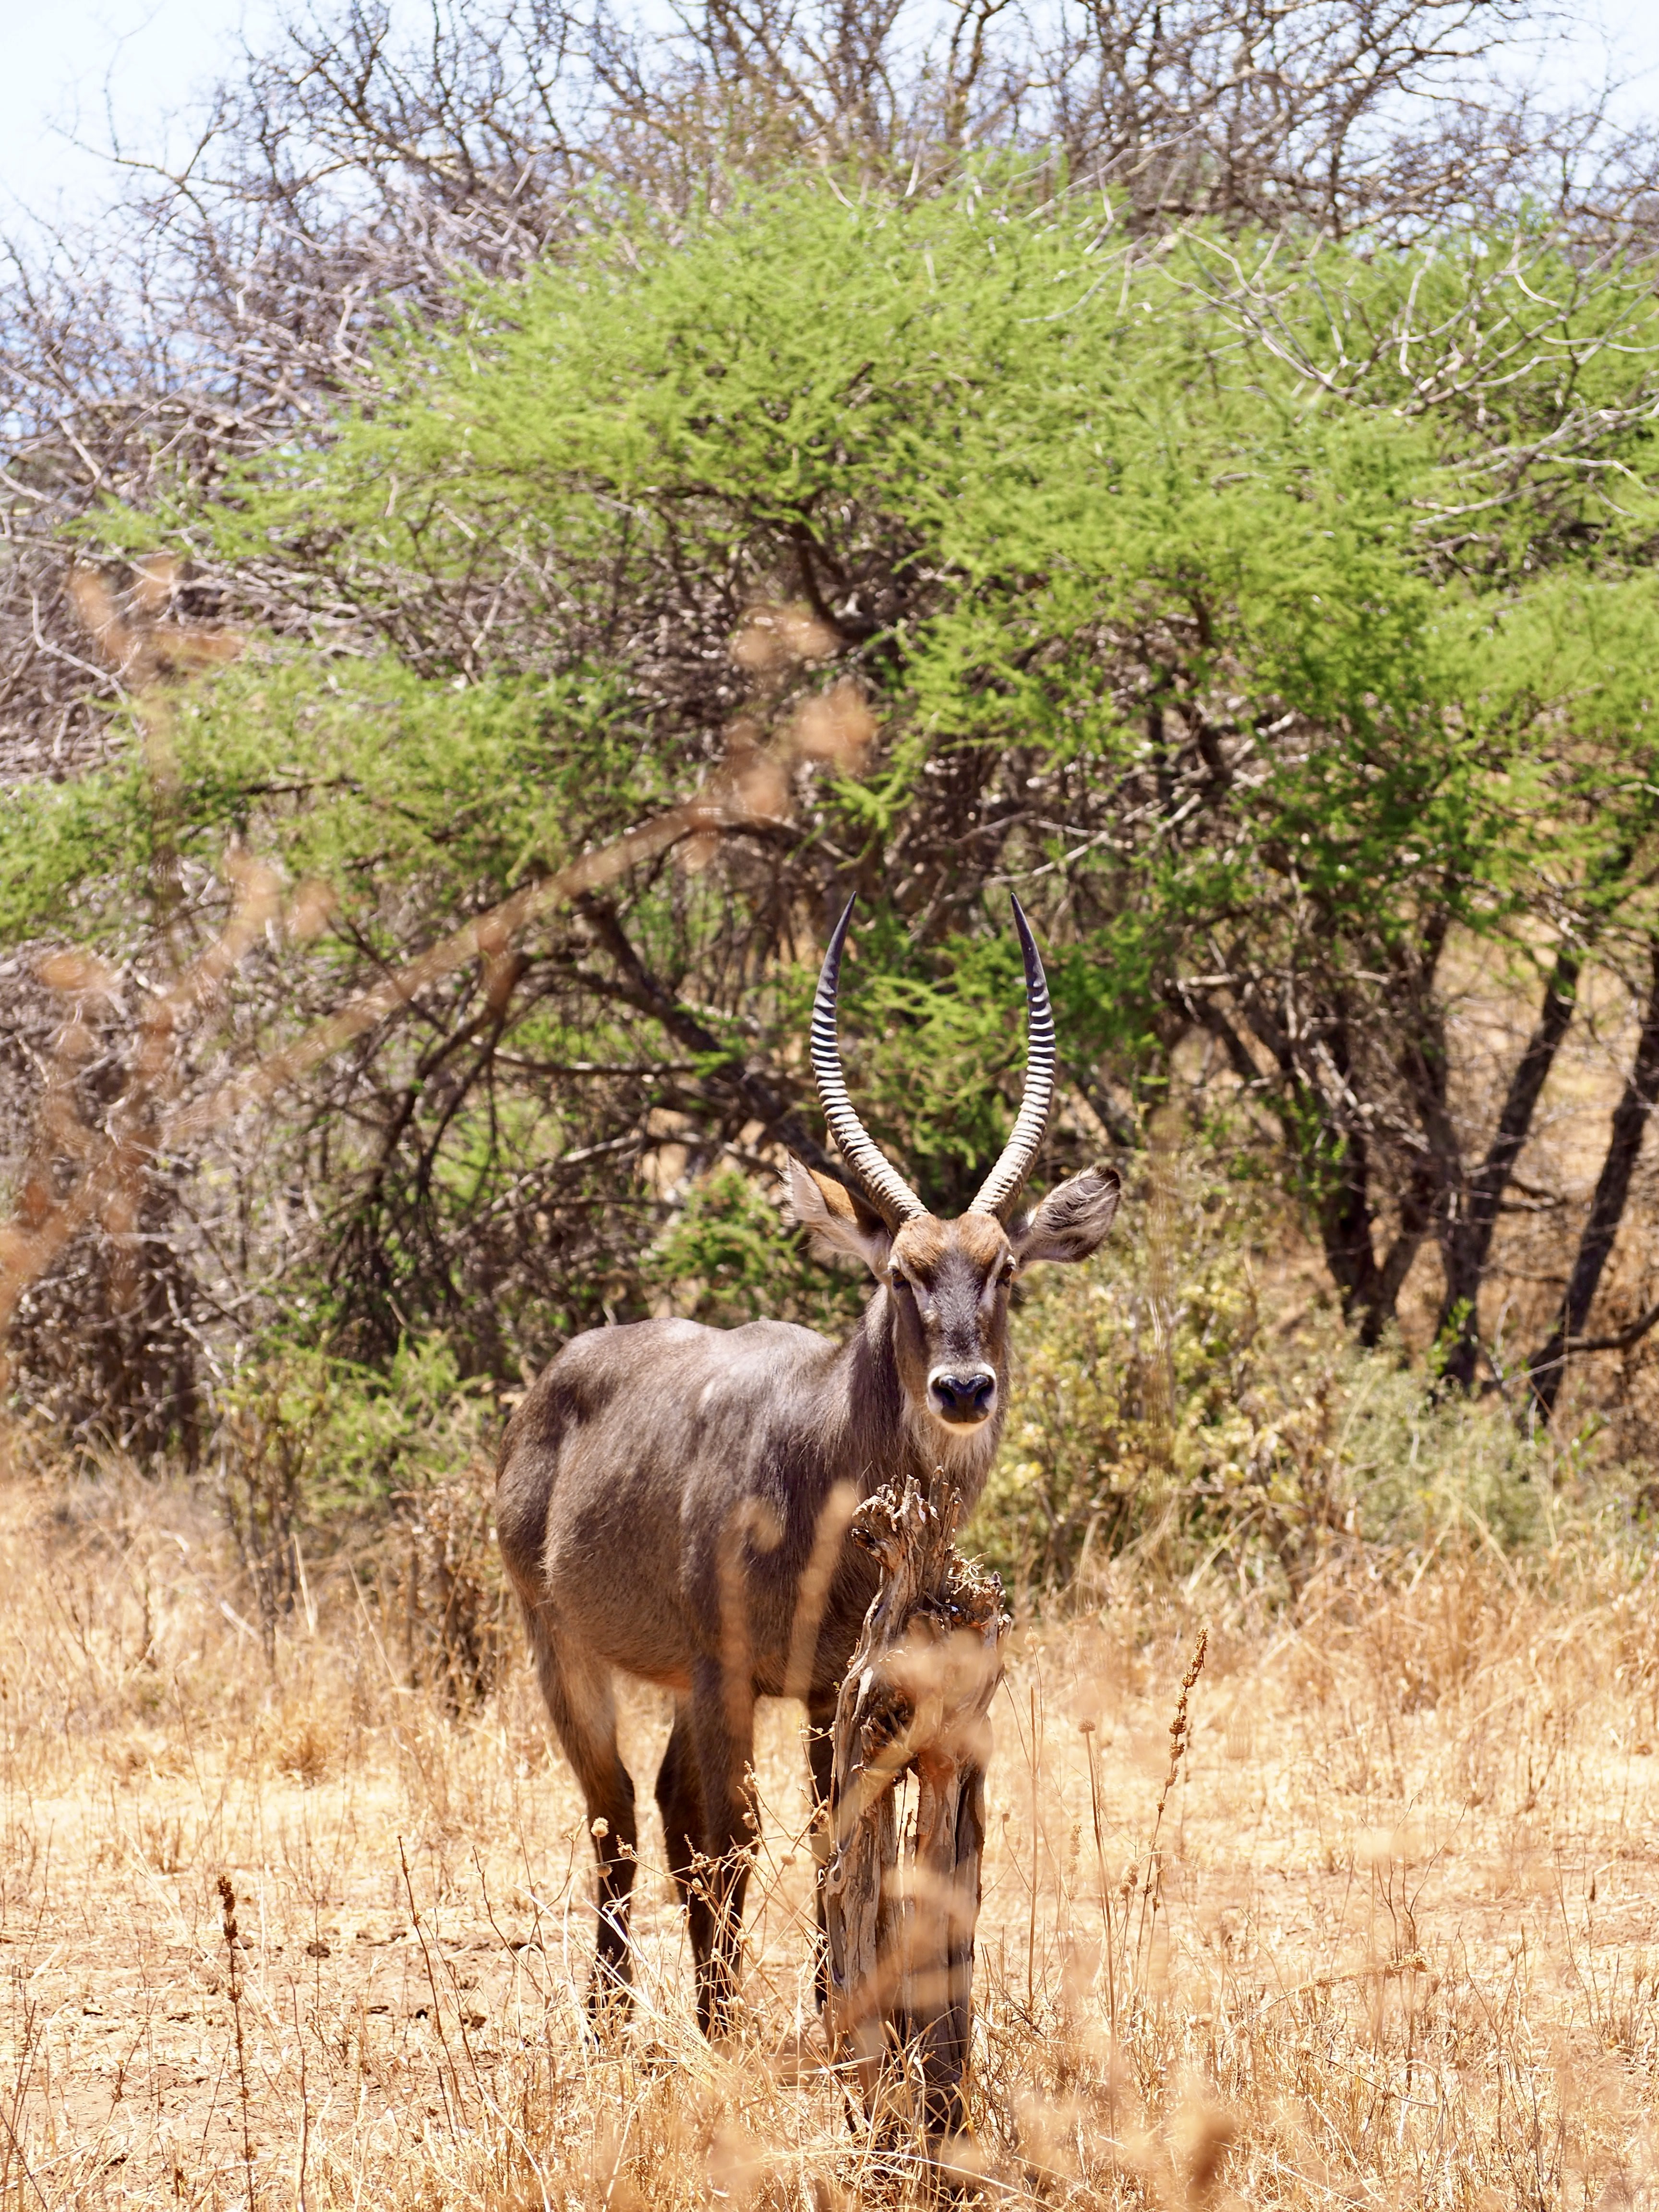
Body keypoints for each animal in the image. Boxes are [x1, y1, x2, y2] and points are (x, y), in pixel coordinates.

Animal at [493, 889, 1119, 2026]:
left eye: (1003, 1267)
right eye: (901, 1272)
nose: (963, 1389)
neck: (819, 1451)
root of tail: (556, 1376)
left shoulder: (833, 1686)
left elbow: (837, 1835)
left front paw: (832, 2010)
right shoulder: (728, 1671)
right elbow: (735, 1839)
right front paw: (730, 2028)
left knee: (663, 1805)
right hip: (563, 1647)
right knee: (619, 1814)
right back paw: (616, 2018)